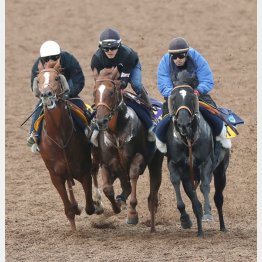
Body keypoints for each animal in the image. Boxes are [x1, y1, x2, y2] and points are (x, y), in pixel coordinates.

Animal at [36, 59, 103, 231]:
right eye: (38, 80)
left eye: (57, 78)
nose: (46, 95)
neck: (60, 138)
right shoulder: (55, 175)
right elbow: (68, 209)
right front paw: (73, 223)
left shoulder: (84, 170)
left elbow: (89, 207)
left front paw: (94, 205)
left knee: (95, 170)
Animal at [92, 67, 164, 231]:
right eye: (94, 92)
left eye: (111, 92)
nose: (101, 121)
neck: (117, 131)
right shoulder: (107, 162)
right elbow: (108, 188)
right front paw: (116, 206)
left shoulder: (138, 157)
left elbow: (133, 176)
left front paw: (132, 213)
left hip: (156, 162)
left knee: (153, 191)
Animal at [166, 82, 229, 237]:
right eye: (174, 99)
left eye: (191, 98)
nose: (183, 124)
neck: (189, 139)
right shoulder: (175, 165)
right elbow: (179, 185)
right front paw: (185, 219)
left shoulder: (206, 163)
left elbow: (205, 186)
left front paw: (207, 213)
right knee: (194, 198)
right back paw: (200, 231)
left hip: (221, 171)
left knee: (218, 198)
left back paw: (222, 226)